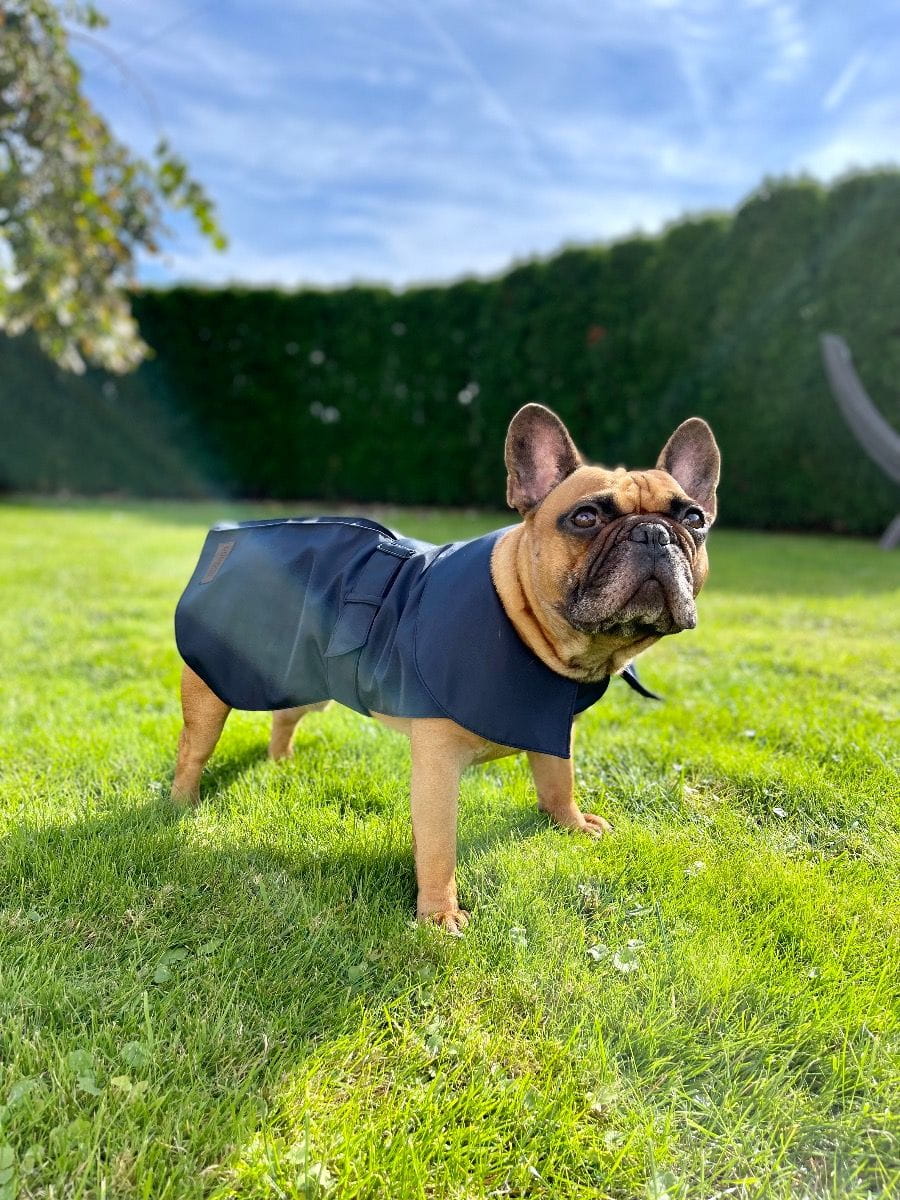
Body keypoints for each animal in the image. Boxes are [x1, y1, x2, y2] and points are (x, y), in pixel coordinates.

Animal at [172, 404, 720, 933]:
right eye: (585, 517)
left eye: (694, 518)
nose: (654, 533)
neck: (525, 622)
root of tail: (233, 536)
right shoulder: (436, 768)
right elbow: (439, 847)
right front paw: (438, 916)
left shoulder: (551, 725)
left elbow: (557, 780)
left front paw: (570, 824)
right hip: (213, 688)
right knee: (193, 748)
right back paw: (182, 803)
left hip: (308, 680)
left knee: (285, 716)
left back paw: (280, 761)